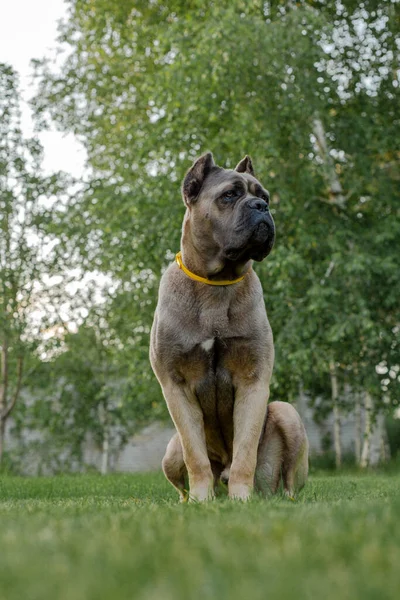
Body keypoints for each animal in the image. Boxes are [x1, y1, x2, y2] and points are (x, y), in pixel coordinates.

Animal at [150, 152, 310, 500]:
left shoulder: (252, 380)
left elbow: (245, 450)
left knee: (290, 481)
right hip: (169, 453)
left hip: (287, 413)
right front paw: (201, 499)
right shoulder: (175, 384)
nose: (261, 207)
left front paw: (242, 498)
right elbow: (195, 454)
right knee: (181, 472)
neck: (216, 283)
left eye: (264, 196)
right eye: (230, 195)